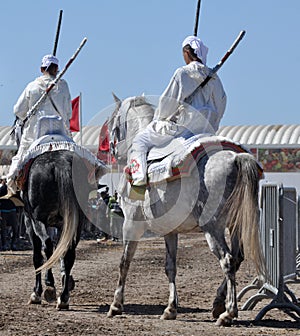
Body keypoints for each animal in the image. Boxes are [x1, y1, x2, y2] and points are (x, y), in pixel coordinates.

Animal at [105, 95, 264, 326]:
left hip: (213, 228)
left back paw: (228, 313)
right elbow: (170, 266)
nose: (111, 149)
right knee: (237, 258)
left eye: (112, 123)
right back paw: (218, 304)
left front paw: (116, 305)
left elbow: (124, 262)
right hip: (236, 224)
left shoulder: (131, 225)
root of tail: (235, 158)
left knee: (227, 260)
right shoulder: (170, 231)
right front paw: (171, 308)